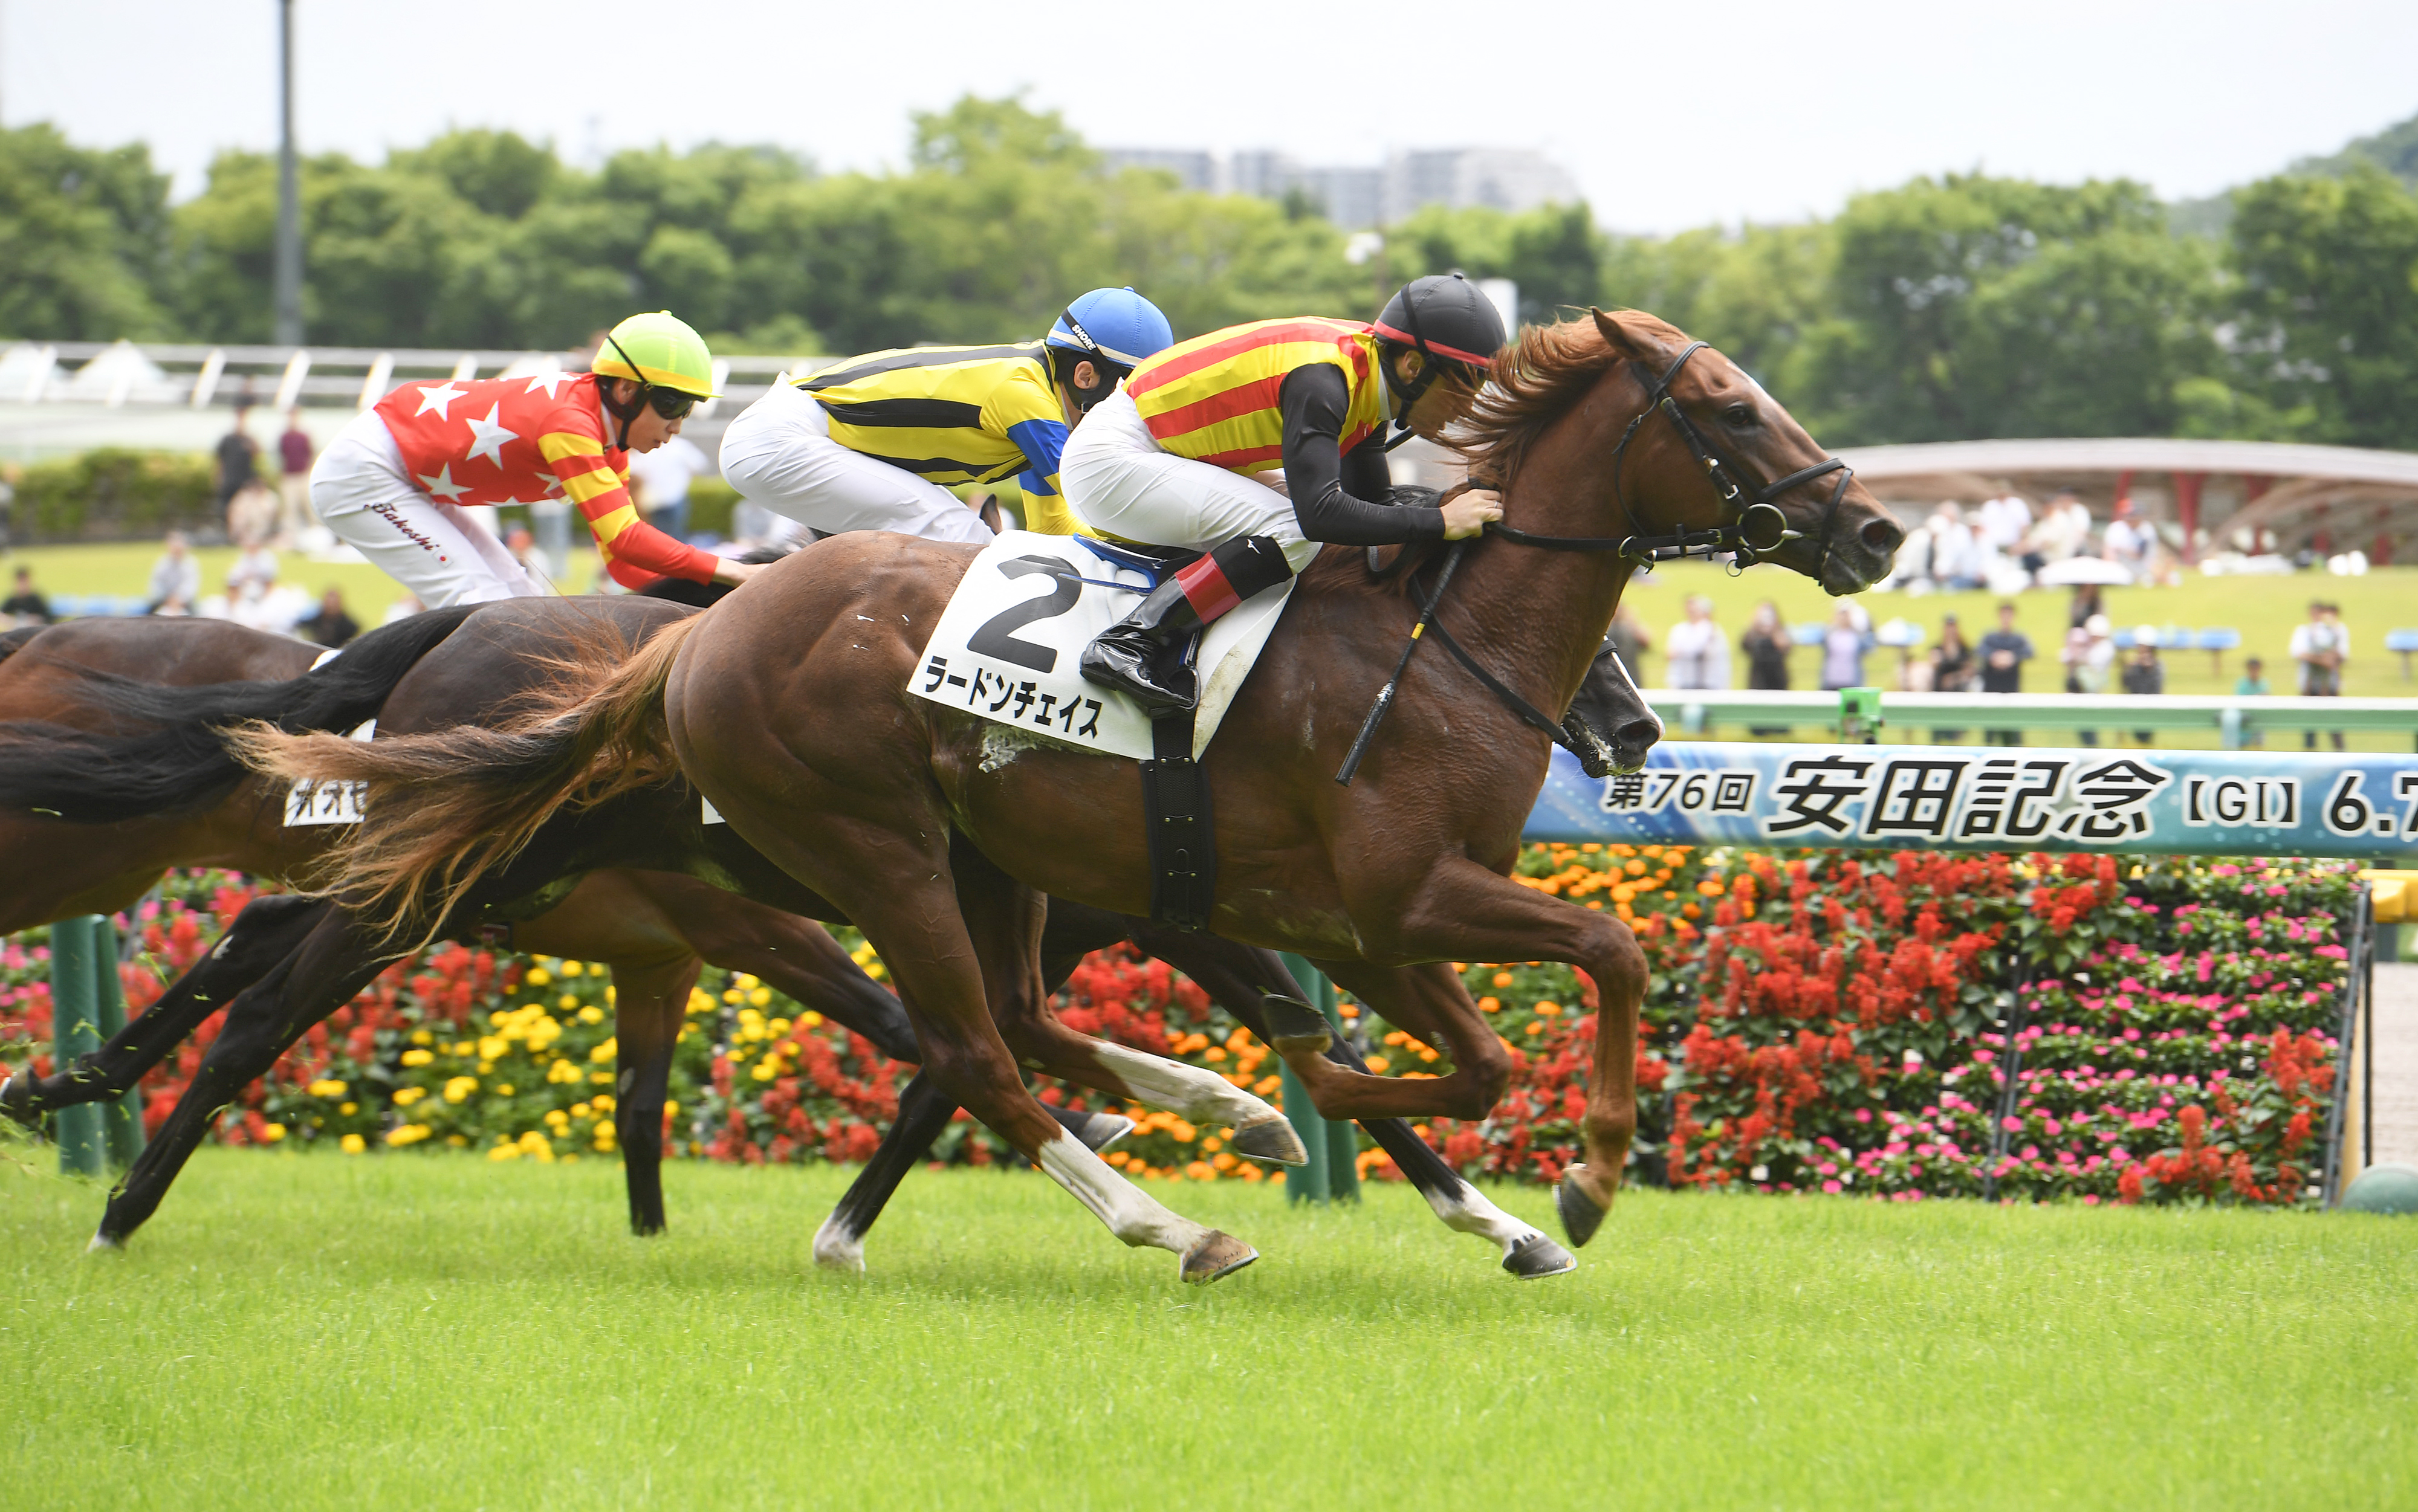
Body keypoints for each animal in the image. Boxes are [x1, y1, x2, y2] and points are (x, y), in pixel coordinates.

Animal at [237, 309, 1901, 1279]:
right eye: (1729, 410)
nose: (1877, 532)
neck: (1441, 644)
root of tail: (703, 632)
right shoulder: (1400, 895)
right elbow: (1584, 966)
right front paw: (1581, 1181)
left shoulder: (1354, 918)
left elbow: (1457, 1052)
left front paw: (1403, 1150)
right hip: (872, 848)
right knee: (971, 1045)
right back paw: (1174, 1216)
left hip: (977, 857)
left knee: (1006, 1024)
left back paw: (1204, 1118)